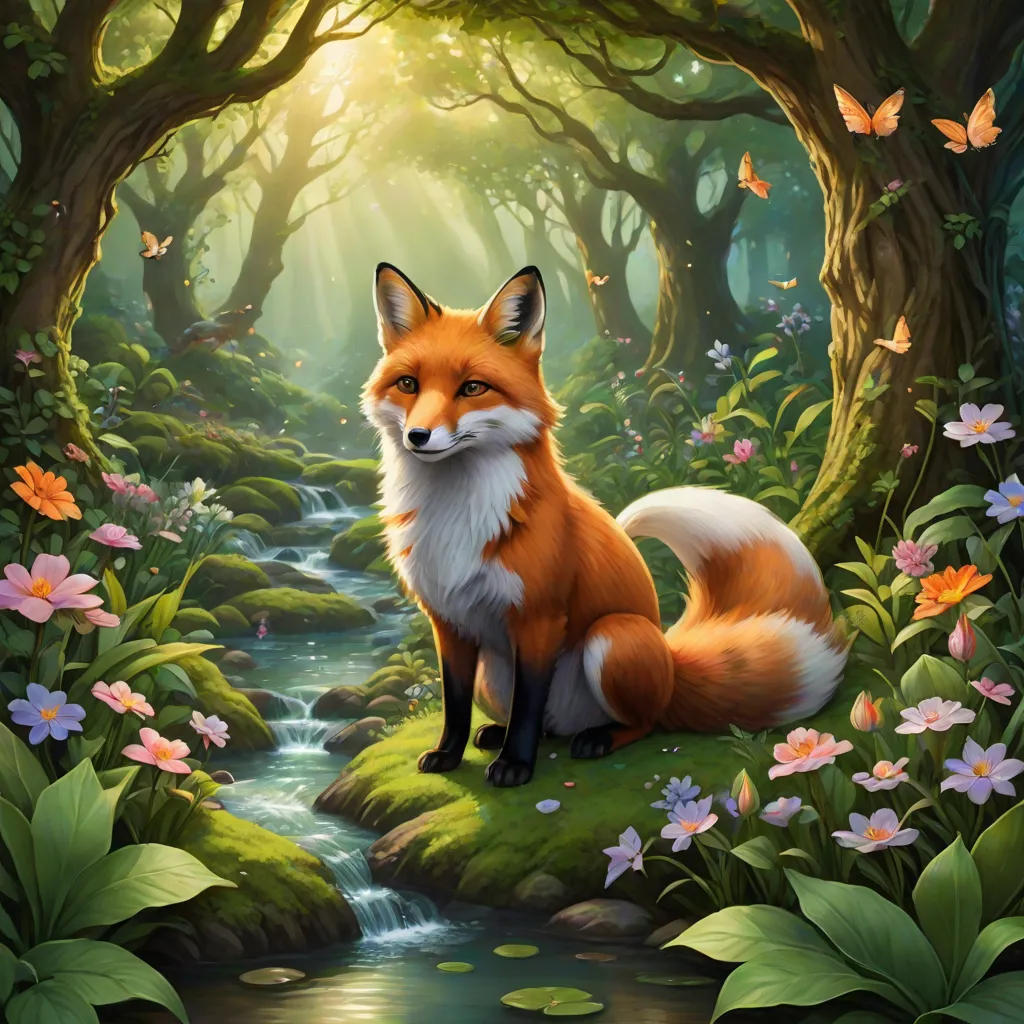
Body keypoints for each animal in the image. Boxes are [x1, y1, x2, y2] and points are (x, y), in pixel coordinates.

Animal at [362, 262, 846, 788]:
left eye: (472, 388)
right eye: (409, 384)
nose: (418, 436)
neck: (456, 516)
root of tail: (672, 665)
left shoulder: (539, 617)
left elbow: (528, 705)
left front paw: (516, 765)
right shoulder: (447, 620)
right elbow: (454, 704)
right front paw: (448, 754)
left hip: (613, 638)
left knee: (642, 722)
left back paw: (597, 739)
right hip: (494, 673)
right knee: (545, 723)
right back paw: (497, 733)